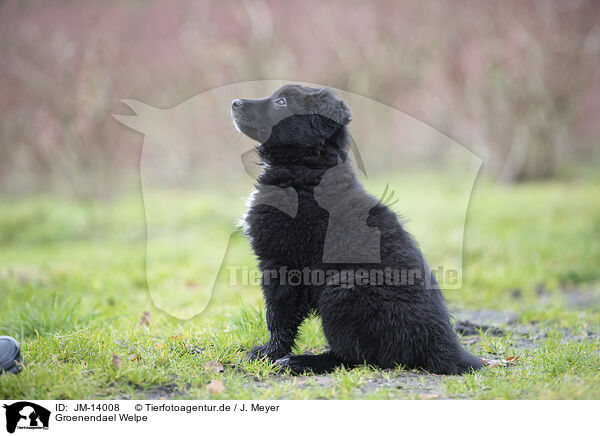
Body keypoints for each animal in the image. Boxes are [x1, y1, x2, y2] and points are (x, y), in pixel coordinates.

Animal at [232, 85, 480, 374]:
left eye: (281, 102)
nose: (235, 102)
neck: (308, 168)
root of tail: (440, 343)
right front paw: (271, 353)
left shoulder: (281, 262)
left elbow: (278, 315)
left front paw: (269, 353)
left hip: (343, 289)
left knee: (356, 356)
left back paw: (302, 361)